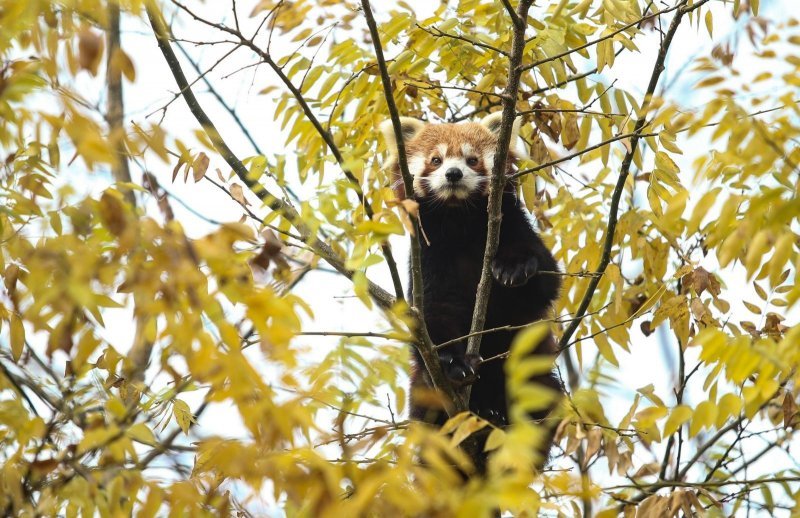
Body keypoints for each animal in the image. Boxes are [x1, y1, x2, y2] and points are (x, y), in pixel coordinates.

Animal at [382, 114, 564, 472]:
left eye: (472, 159)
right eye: (436, 160)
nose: (453, 173)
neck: (459, 220)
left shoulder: (513, 225)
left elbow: (544, 283)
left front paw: (512, 268)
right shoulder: (428, 257)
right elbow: (435, 314)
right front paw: (455, 363)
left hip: (530, 376)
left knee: (541, 396)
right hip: (422, 392)